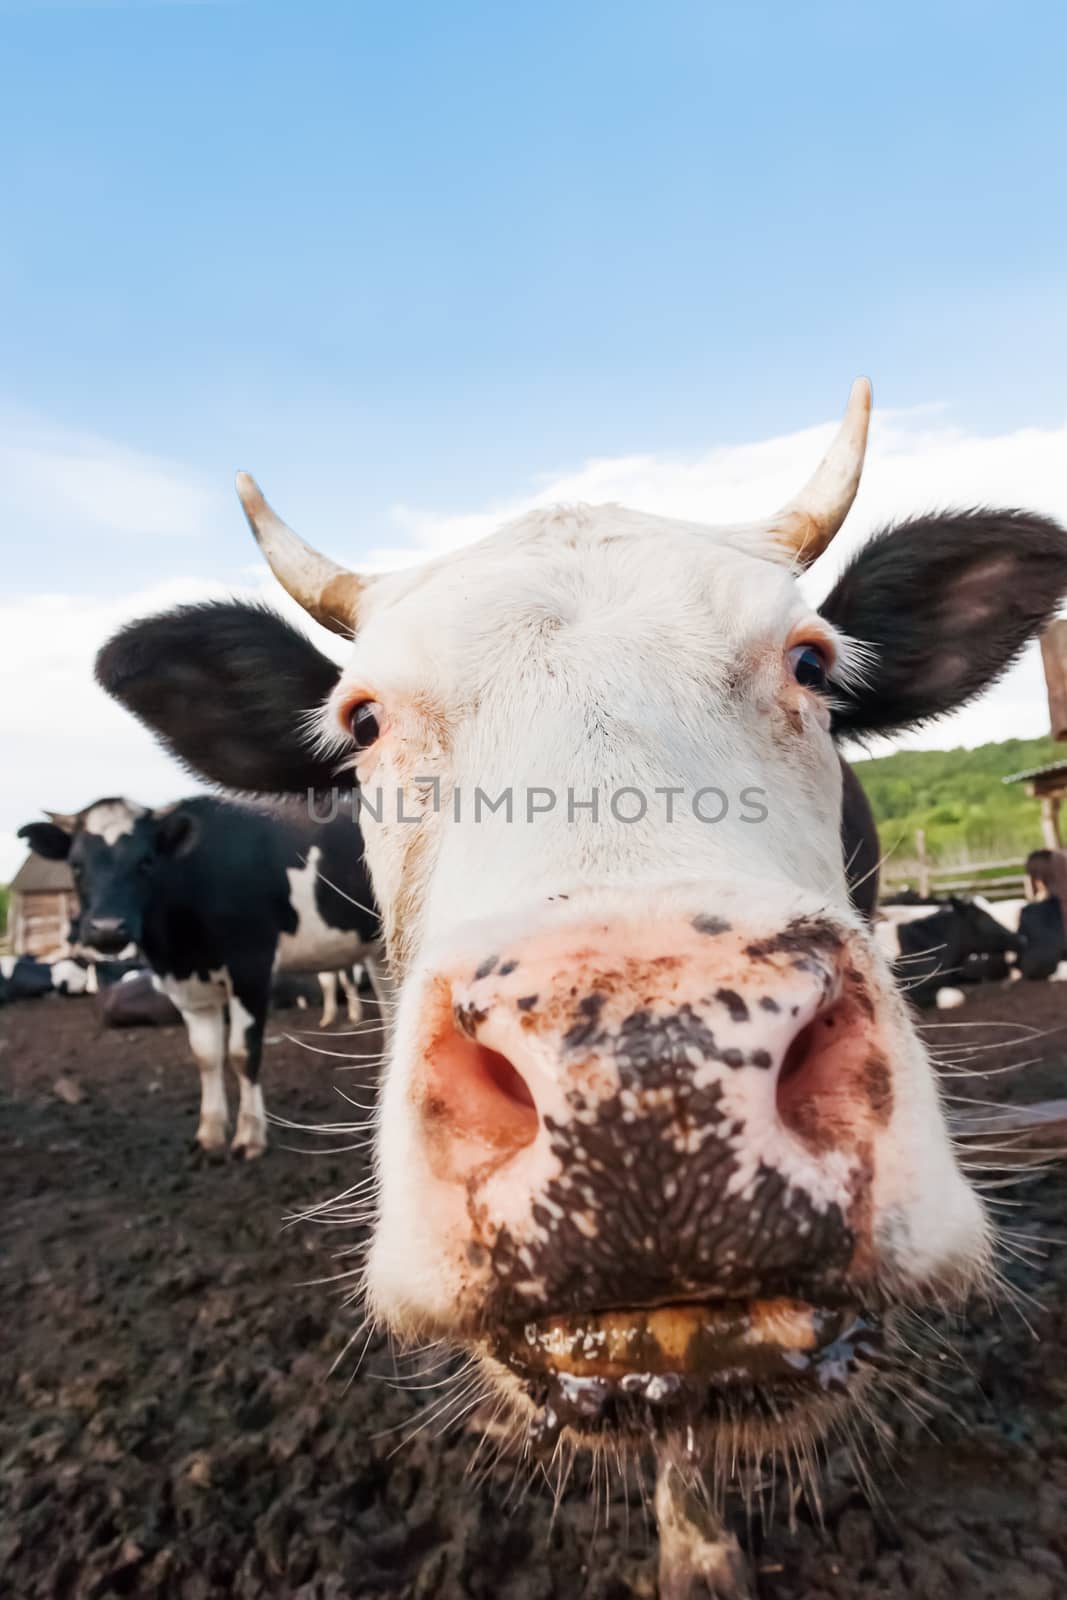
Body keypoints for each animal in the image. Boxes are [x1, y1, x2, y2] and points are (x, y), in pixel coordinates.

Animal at [18, 793, 383, 1158]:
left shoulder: (251, 967)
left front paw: (249, 1136)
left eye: (146, 861)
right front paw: (209, 1135)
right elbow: (206, 1056)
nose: (107, 929)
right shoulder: (187, 986)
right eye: (76, 865)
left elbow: (242, 1053)